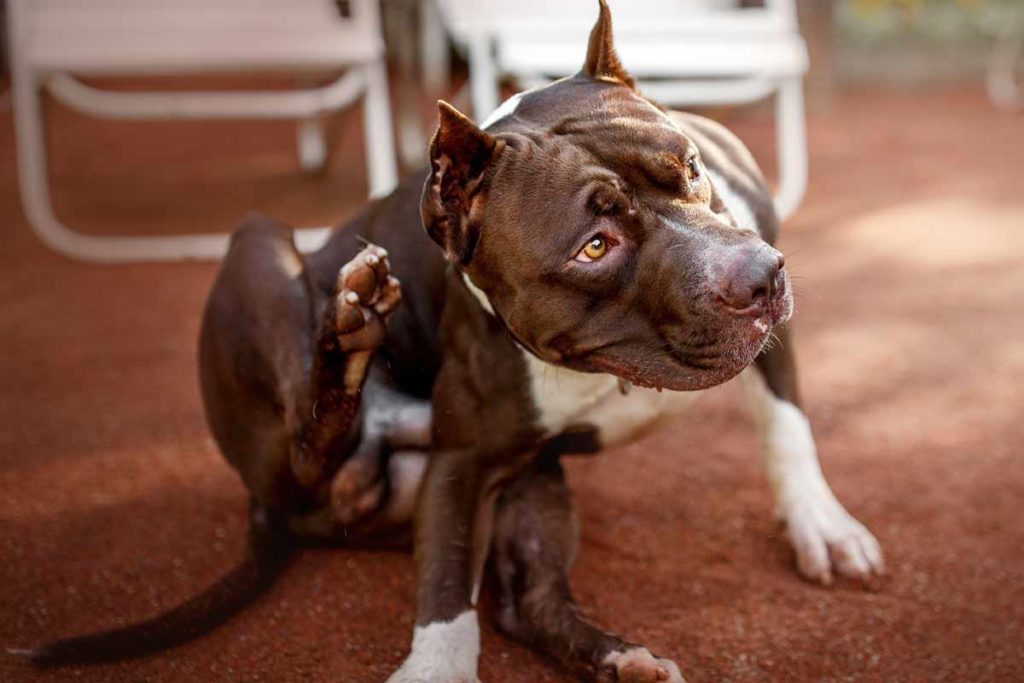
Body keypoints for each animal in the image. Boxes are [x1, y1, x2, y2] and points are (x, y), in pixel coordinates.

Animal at [22, 2, 888, 679]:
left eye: (692, 167)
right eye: (594, 246)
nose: (760, 277)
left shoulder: (766, 338)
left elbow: (787, 426)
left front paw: (821, 524)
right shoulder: (462, 465)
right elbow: (444, 594)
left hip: (534, 481)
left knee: (526, 602)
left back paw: (619, 656)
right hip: (256, 248)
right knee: (302, 443)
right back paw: (347, 334)